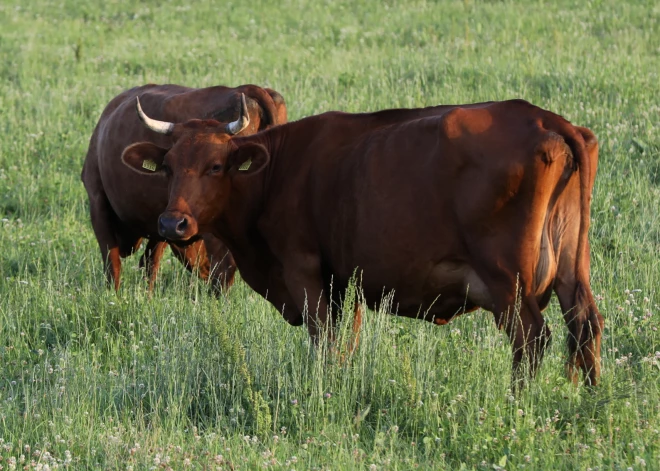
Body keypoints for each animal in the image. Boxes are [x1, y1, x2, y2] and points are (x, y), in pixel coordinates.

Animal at [81, 83, 288, 294]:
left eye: (216, 166)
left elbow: (112, 263)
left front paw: (113, 297)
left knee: (222, 267)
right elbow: (150, 262)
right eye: (167, 166)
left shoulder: (97, 200)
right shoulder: (163, 220)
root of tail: (245, 89)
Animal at [122, 99, 604, 388]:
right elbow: (345, 342)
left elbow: (324, 341)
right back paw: (587, 397)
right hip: (569, 271)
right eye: (167, 166)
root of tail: (546, 119)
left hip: (509, 284)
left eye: (216, 166)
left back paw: (518, 405)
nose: (172, 222)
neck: (278, 171)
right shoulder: (345, 282)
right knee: (585, 326)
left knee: (533, 339)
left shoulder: (305, 272)